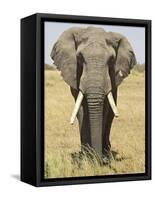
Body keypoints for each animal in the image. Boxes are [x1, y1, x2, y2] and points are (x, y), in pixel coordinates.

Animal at [50, 26, 136, 161]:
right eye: (80, 57)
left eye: (111, 59)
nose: (99, 160)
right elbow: (81, 109)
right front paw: (86, 157)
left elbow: (105, 109)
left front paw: (99, 158)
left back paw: (106, 152)